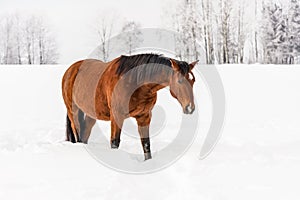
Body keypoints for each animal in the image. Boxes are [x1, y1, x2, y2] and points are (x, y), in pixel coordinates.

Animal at [61, 53, 198, 159]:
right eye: (180, 81)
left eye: (193, 81)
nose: (190, 108)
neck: (134, 81)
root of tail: (70, 70)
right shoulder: (116, 116)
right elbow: (115, 142)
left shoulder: (144, 117)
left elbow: (146, 143)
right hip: (73, 110)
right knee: (77, 132)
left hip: (91, 114)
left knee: (85, 133)